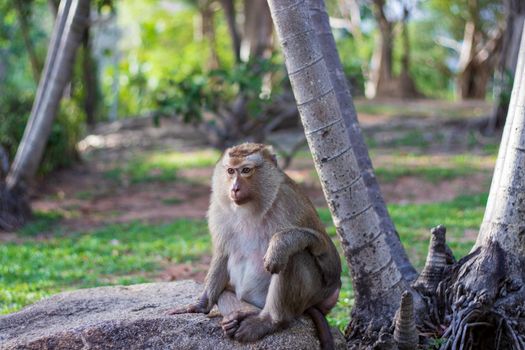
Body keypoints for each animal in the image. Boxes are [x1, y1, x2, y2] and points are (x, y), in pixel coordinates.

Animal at [168, 143, 340, 350]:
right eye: (230, 171)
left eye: (246, 170)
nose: (234, 188)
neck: (250, 206)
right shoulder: (218, 208)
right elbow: (222, 254)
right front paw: (201, 305)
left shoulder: (290, 200)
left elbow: (329, 258)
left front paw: (280, 244)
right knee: (224, 293)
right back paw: (241, 314)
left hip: (311, 296)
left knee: (293, 257)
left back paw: (269, 320)